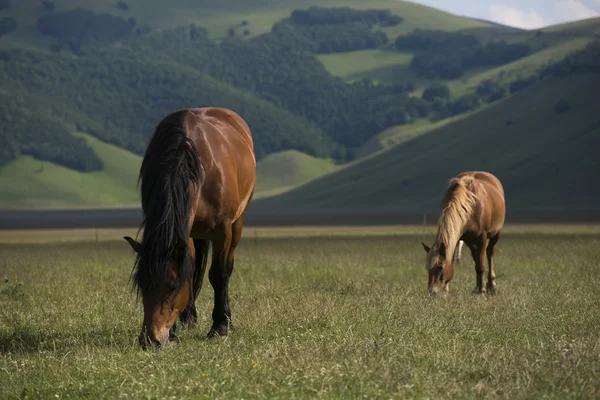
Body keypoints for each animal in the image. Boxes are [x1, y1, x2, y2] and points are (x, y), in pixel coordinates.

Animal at [124, 108, 255, 348]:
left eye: (172, 286)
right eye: (141, 285)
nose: (150, 340)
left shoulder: (222, 230)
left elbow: (219, 274)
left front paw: (220, 327)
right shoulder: (184, 230)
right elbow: (189, 271)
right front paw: (174, 331)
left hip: (237, 224)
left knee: (227, 266)